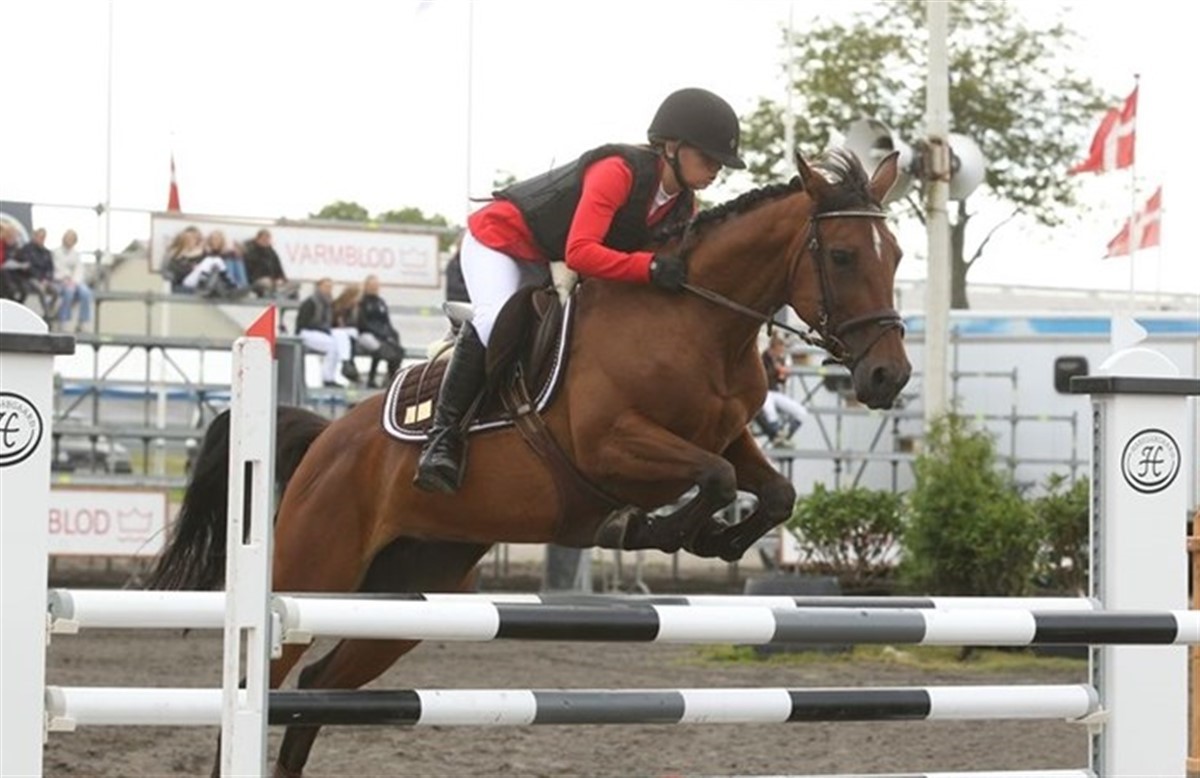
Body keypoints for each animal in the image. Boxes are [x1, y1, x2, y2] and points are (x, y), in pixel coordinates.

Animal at [149, 147, 911, 776]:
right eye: (843, 256)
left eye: (898, 255)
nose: (888, 377)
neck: (697, 324)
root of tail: (328, 438)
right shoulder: (610, 445)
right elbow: (712, 479)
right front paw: (648, 530)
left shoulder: (728, 436)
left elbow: (772, 491)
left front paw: (713, 540)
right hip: (315, 568)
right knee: (263, 679)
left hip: (411, 588)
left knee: (317, 688)